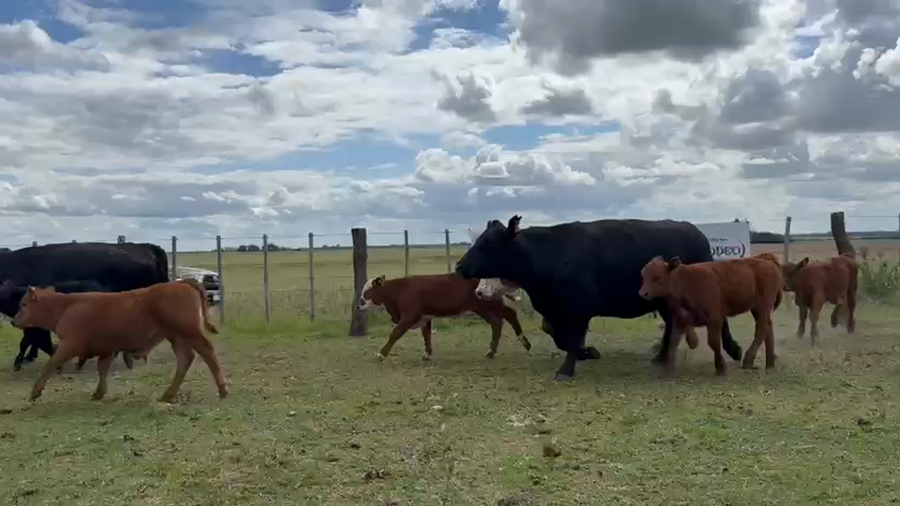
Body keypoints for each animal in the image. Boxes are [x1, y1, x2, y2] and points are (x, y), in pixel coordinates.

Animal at [11, 278, 227, 403]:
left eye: (23, 304)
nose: (14, 321)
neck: (65, 306)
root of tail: (181, 282)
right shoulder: (106, 349)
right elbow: (102, 368)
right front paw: (99, 393)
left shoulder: (69, 344)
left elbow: (51, 363)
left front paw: (36, 391)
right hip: (176, 336)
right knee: (185, 358)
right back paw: (168, 394)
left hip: (189, 333)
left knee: (207, 352)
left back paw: (222, 389)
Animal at [357, 273, 530, 361]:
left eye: (367, 292)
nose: (358, 305)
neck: (400, 290)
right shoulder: (425, 318)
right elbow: (426, 335)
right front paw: (427, 354)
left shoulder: (409, 317)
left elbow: (395, 334)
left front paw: (381, 354)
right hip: (484, 308)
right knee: (497, 322)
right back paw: (491, 351)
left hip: (490, 305)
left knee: (510, 315)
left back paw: (525, 343)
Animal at [455, 215, 744, 381]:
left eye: (487, 244)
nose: (459, 267)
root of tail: (695, 231)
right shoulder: (554, 310)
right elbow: (559, 336)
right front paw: (589, 353)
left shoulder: (579, 308)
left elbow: (572, 339)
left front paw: (566, 370)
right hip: (662, 301)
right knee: (672, 325)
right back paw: (661, 357)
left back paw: (734, 349)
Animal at [638, 254, 783, 375]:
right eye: (643, 276)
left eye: (657, 277)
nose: (642, 293)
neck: (686, 282)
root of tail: (764, 259)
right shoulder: (680, 320)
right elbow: (673, 341)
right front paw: (668, 369)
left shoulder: (715, 319)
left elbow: (713, 342)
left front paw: (721, 368)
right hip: (758, 309)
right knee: (768, 328)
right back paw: (770, 363)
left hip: (762, 306)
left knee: (762, 329)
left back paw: (748, 360)